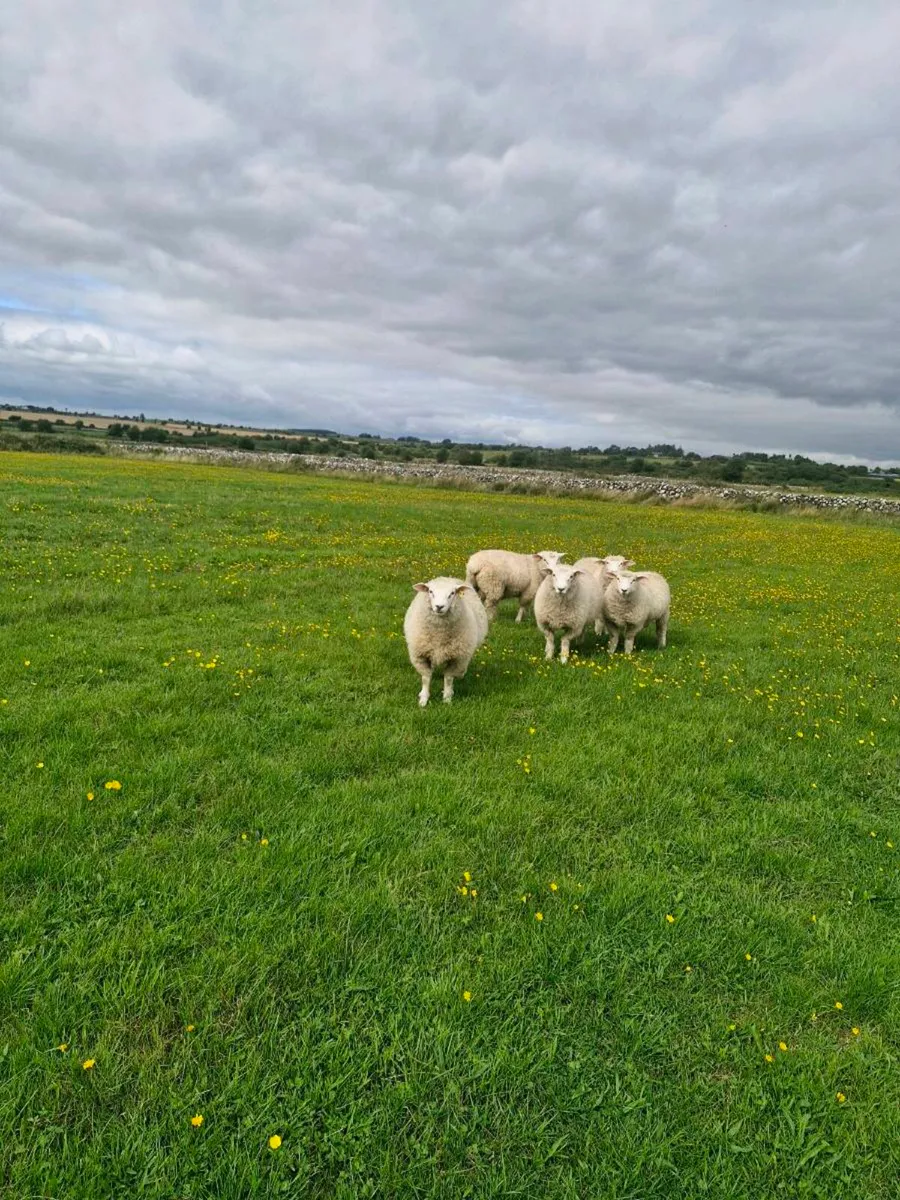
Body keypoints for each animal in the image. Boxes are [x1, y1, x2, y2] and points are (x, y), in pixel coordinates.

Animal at [404, 576, 489, 706]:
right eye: (431, 591)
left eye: (452, 593)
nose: (439, 606)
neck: (439, 635)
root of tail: (448, 577)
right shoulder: (421, 655)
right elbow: (426, 678)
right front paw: (423, 699)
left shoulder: (457, 658)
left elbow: (448, 679)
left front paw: (447, 699)